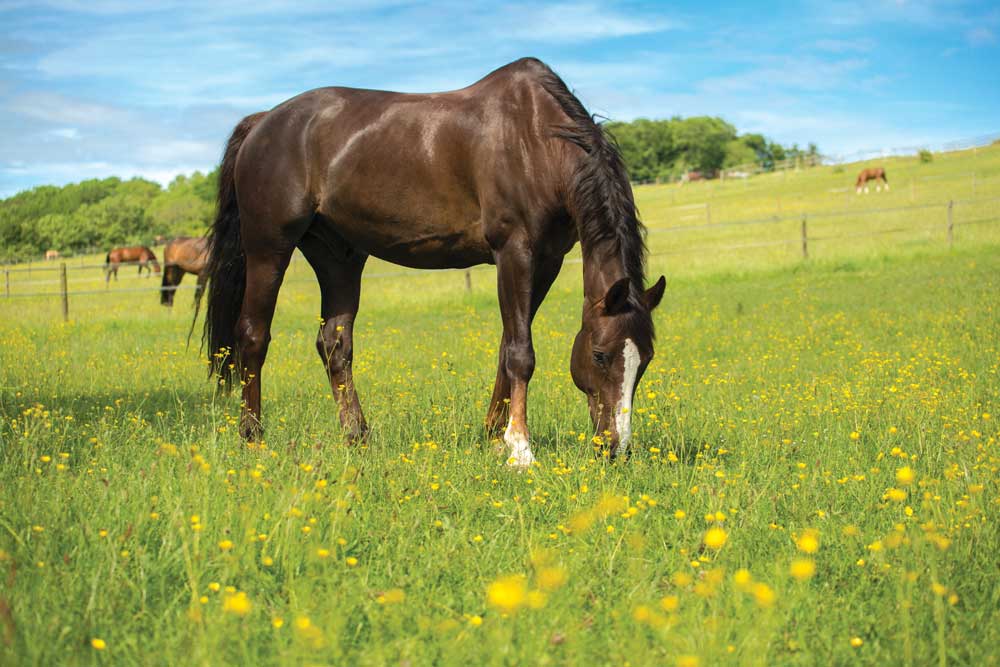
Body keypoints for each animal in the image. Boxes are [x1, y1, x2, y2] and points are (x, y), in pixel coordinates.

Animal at [204, 57, 668, 468]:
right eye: (601, 355)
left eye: (645, 359)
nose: (614, 448)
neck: (536, 140)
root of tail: (263, 121)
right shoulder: (514, 251)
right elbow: (521, 352)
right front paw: (520, 449)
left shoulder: (548, 260)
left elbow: (506, 346)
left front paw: (494, 438)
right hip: (268, 249)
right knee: (253, 337)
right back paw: (253, 439)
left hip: (338, 256)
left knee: (335, 345)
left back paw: (356, 437)